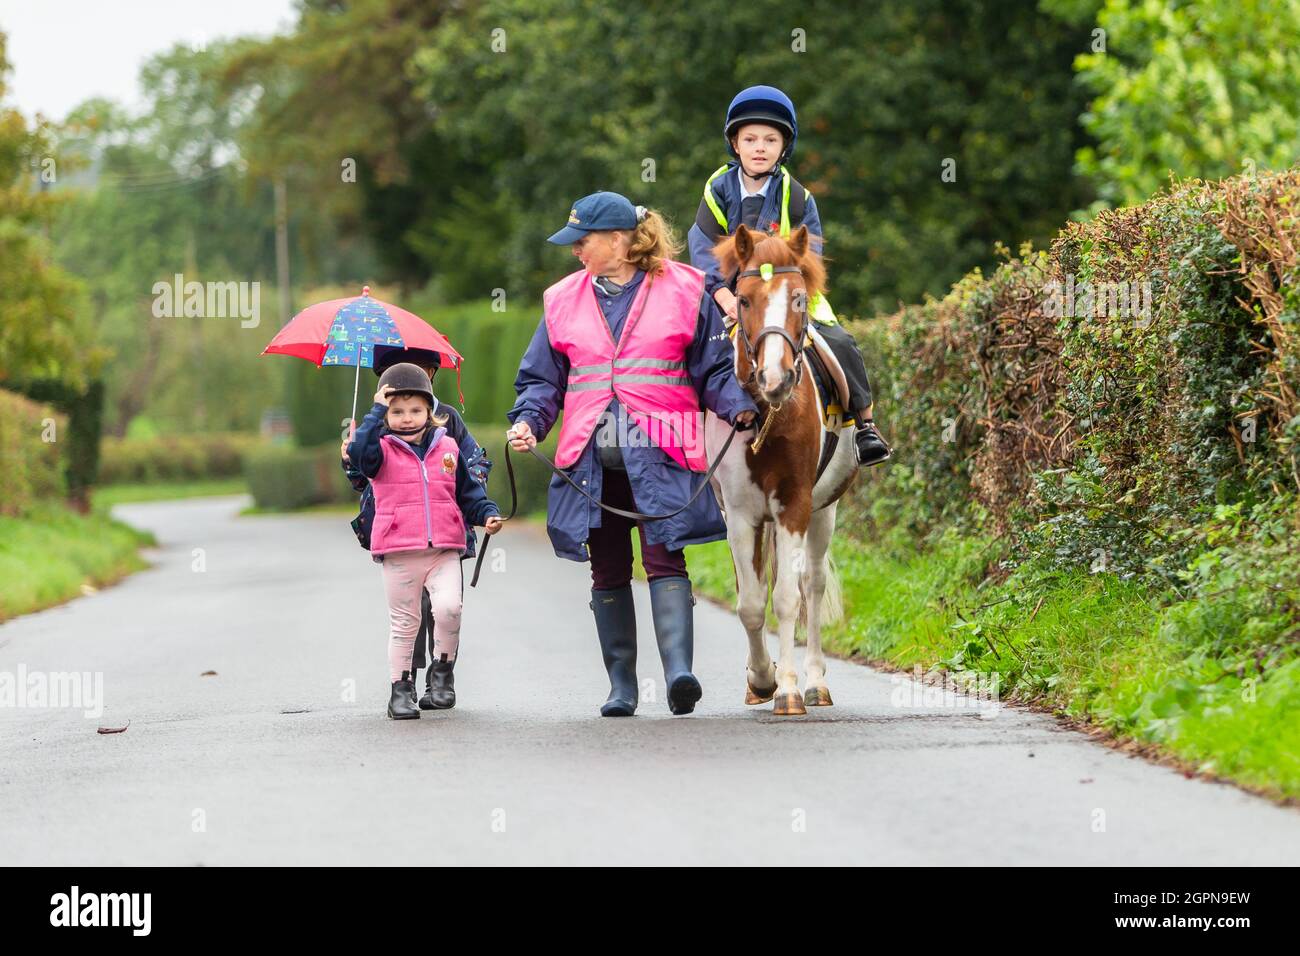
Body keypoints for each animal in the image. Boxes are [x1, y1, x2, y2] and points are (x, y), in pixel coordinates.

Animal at [707, 226, 857, 717]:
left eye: (798, 297)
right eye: (744, 299)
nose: (776, 379)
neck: (767, 415)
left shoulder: (794, 503)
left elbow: (789, 599)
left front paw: (788, 690)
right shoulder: (740, 515)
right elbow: (751, 603)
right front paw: (761, 679)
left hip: (823, 511)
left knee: (811, 586)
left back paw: (815, 684)